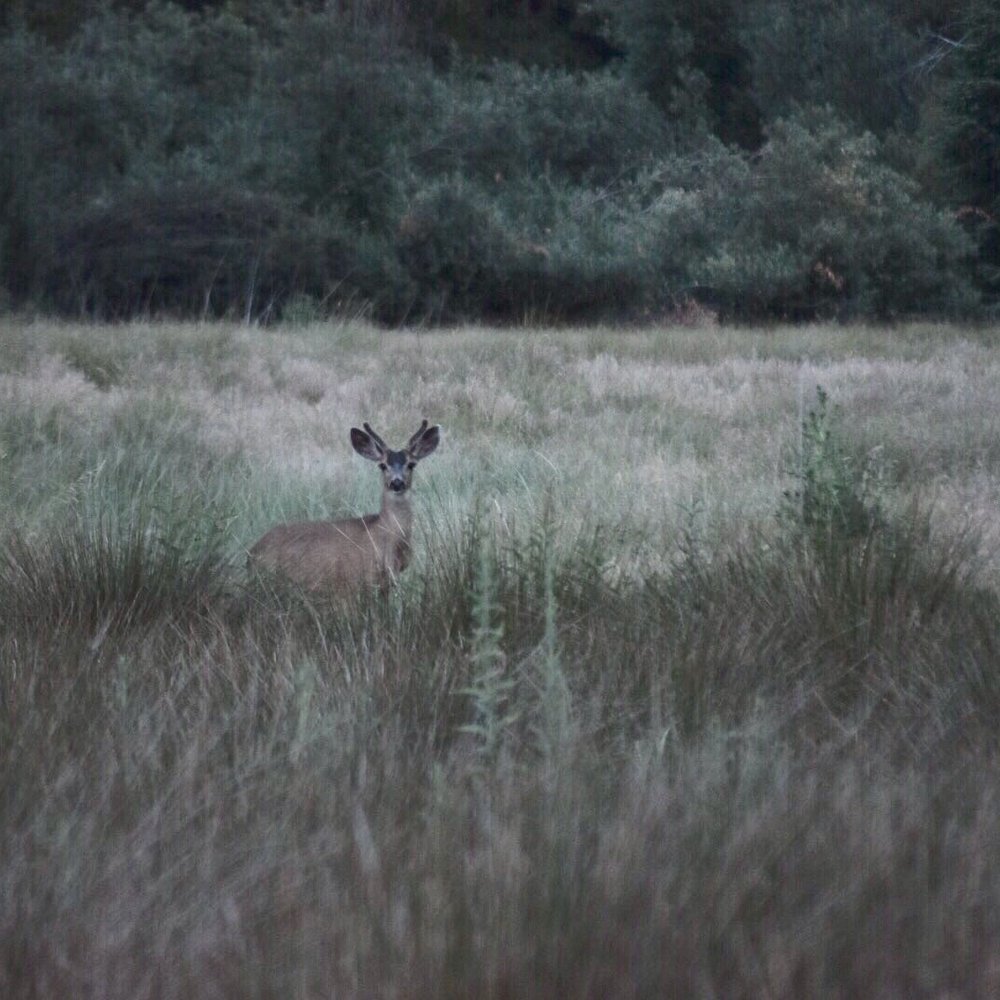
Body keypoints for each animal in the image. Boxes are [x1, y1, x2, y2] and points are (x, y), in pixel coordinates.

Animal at [249, 420, 440, 594]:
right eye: (382, 465)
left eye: (411, 464)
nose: (397, 482)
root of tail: (251, 553)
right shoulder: (354, 580)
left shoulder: (387, 583)